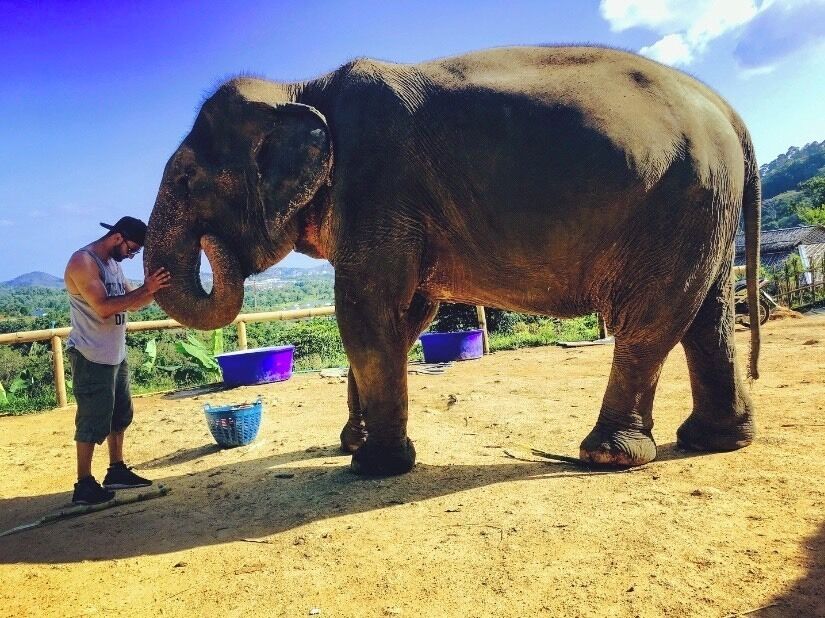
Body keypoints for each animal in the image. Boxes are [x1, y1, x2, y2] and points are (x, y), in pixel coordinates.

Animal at [145, 45, 761, 476]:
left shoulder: (378, 182)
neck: (301, 86)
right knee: (705, 314)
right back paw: (712, 441)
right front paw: (353, 444)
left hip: (680, 200)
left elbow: (366, 309)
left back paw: (608, 456)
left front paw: (372, 466)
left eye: (186, 181)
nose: (212, 247)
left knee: (651, 320)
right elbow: (405, 317)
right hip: (705, 209)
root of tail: (732, 114)